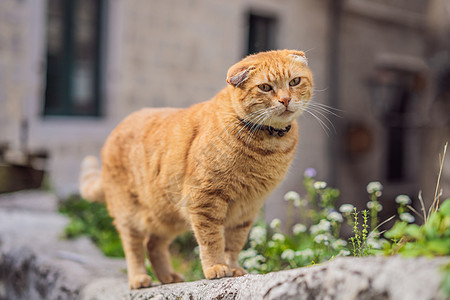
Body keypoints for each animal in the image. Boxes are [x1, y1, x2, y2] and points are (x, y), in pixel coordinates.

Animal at [80, 49, 312, 288]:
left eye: (294, 82)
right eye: (265, 87)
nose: (286, 99)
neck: (267, 148)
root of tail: (115, 130)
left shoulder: (247, 208)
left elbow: (234, 243)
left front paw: (234, 269)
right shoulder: (205, 200)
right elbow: (212, 240)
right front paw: (217, 267)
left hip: (167, 215)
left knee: (153, 244)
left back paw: (168, 277)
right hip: (130, 215)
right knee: (134, 246)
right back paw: (140, 278)